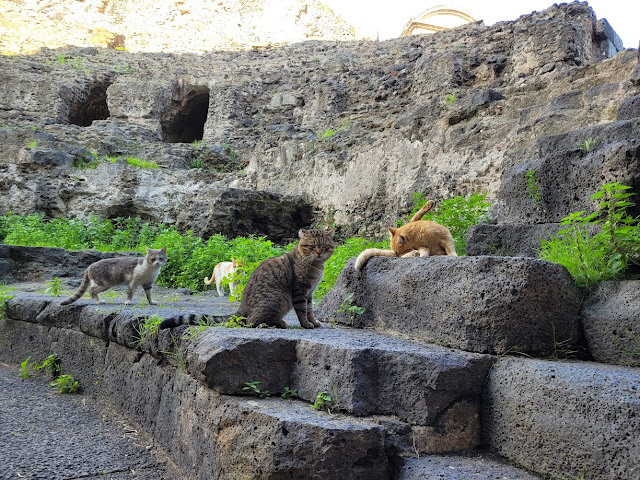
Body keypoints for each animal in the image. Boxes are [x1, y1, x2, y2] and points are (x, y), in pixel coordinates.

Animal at [159, 230, 336, 330]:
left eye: (325, 246)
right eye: (312, 246)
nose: (319, 253)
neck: (316, 266)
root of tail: (240, 309)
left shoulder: (310, 293)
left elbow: (310, 310)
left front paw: (314, 321)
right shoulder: (301, 291)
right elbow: (302, 311)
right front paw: (306, 324)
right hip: (279, 299)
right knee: (253, 321)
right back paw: (278, 323)